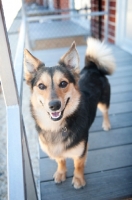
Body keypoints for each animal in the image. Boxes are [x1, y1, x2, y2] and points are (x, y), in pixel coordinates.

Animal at [24, 37, 115, 189]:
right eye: (41, 86)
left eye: (63, 83)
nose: (54, 106)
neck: (56, 127)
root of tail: (92, 67)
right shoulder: (57, 152)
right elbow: (61, 161)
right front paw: (61, 173)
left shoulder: (81, 151)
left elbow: (78, 166)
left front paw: (78, 180)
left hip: (104, 101)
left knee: (105, 112)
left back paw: (106, 124)